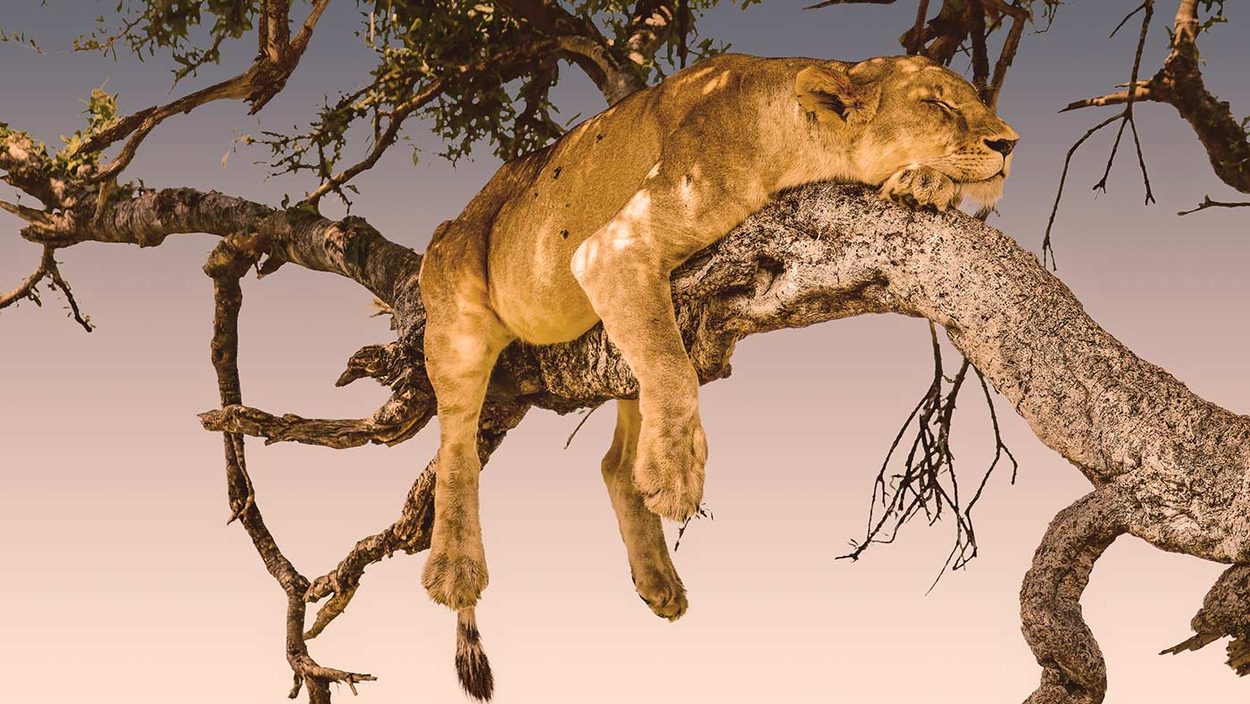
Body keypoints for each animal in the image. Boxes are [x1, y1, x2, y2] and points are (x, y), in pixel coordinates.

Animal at [416, 52, 1018, 699]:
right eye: (939, 104)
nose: (1010, 143)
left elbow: (664, 368)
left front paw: (925, 184)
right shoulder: (612, 247)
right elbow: (671, 366)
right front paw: (678, 475)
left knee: (616, 461)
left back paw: (658, 580)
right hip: (457, 305)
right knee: (457, 446)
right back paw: (456, 566)